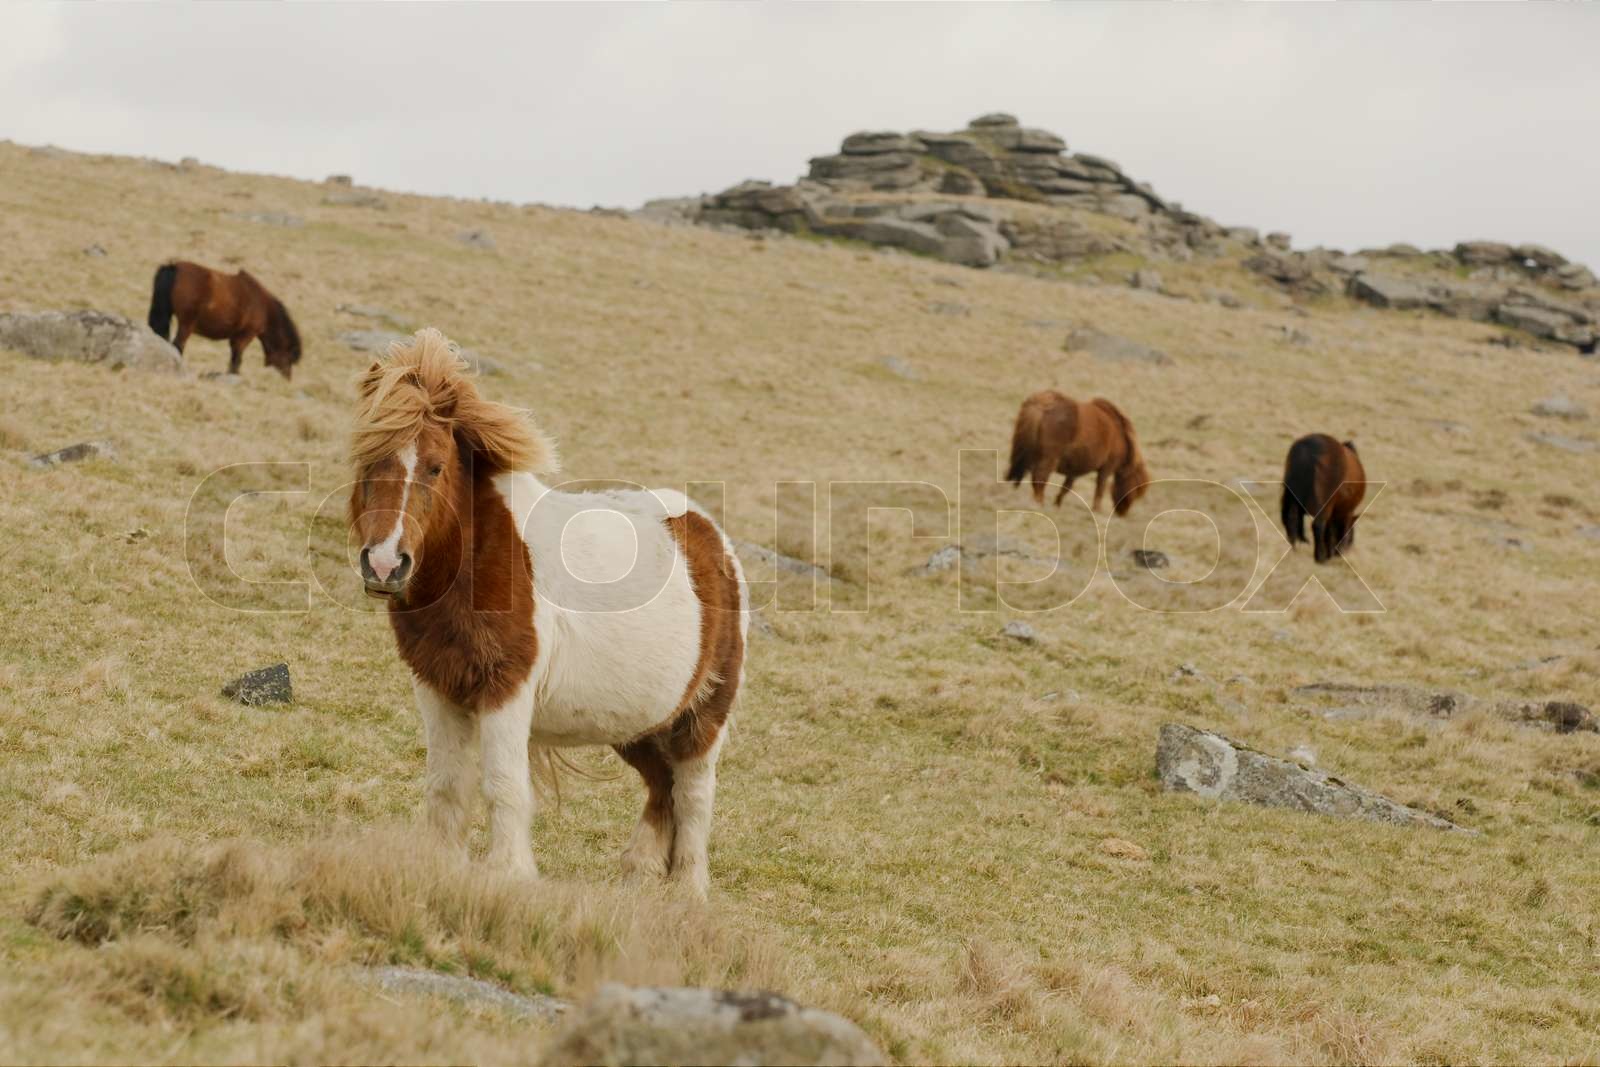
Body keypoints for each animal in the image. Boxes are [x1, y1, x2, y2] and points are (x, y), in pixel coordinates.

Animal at [147, 261, 302, 378]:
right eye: (289, 357)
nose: (287, 379)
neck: (263, 308)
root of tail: (173, 267)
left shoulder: (235, 337)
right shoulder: (245, 335)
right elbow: (237, 359)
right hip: (186, 324)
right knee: (178, 345)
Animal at [348, 329, 746, 897]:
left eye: (435, 466)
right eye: (368, 462)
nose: (384, 564)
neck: (481, 563)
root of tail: (711, 534)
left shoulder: (506, 689)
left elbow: (502, 786)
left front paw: (508, 876)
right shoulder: (437, 688)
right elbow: (445, 786)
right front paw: (440, 868)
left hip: (704, 714)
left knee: (692, 794)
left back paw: (687, 893)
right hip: (637, 722)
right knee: (661, 783)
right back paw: (640, 872)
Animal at [1006, 389, 1151, 515]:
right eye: (1135, 487)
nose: (1122, 513)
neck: (1120, 436)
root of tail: (1044, 404)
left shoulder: (1075, 469)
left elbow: (1066, 487)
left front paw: (1057, 504)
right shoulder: (1106, 469)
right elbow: (1100, 489)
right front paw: (1096, 510)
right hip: (1048, 460)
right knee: (1039, 478)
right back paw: (1039, 503)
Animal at [1281, 433, 1366, 563]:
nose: (1348, 549)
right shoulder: (1346, 512)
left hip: (1292, 496)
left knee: (1292, 518)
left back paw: (1294, 547)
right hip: (1324, 503)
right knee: (1318, 525)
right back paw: (1320, 557)